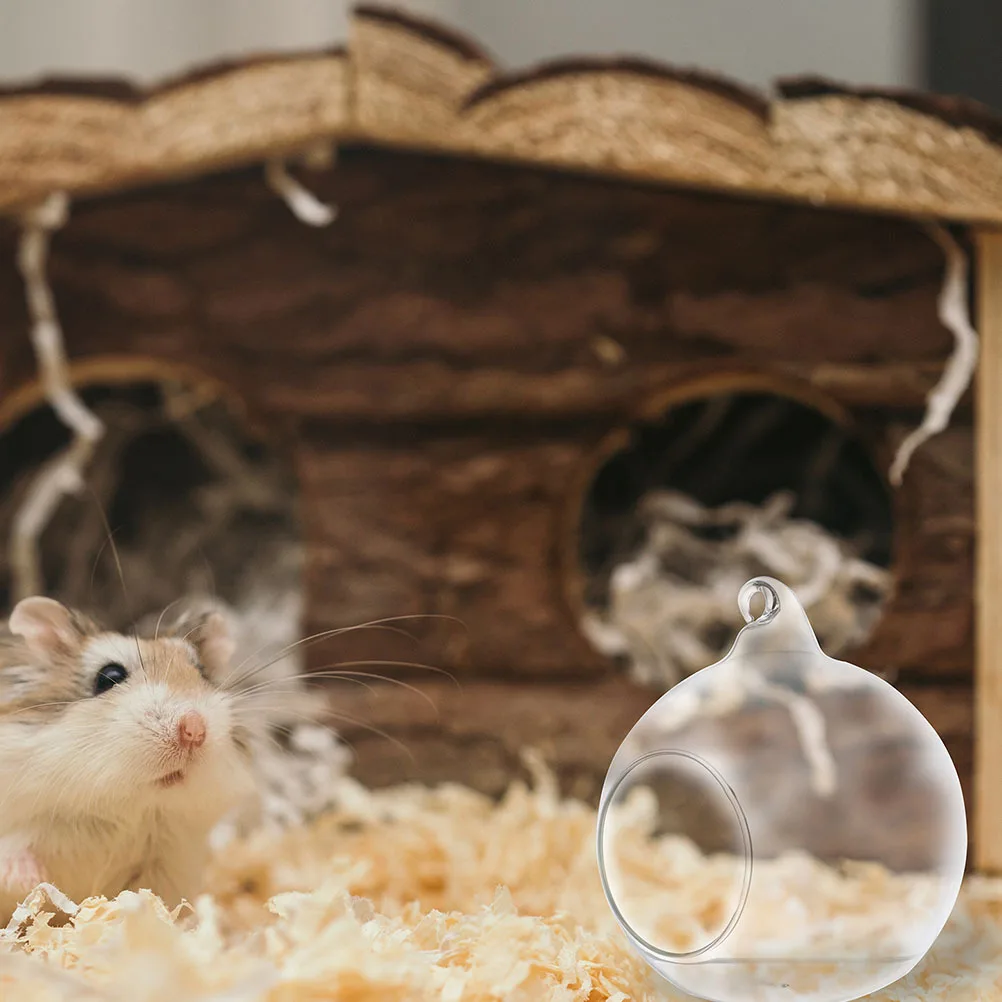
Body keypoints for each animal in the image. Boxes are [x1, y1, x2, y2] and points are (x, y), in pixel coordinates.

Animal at [0, 595, 259, 923]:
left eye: (202, 672)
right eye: (109, 676)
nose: (194, 730)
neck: (125, 806)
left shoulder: (166, 866)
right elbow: (14, 847)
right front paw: (27, 879)